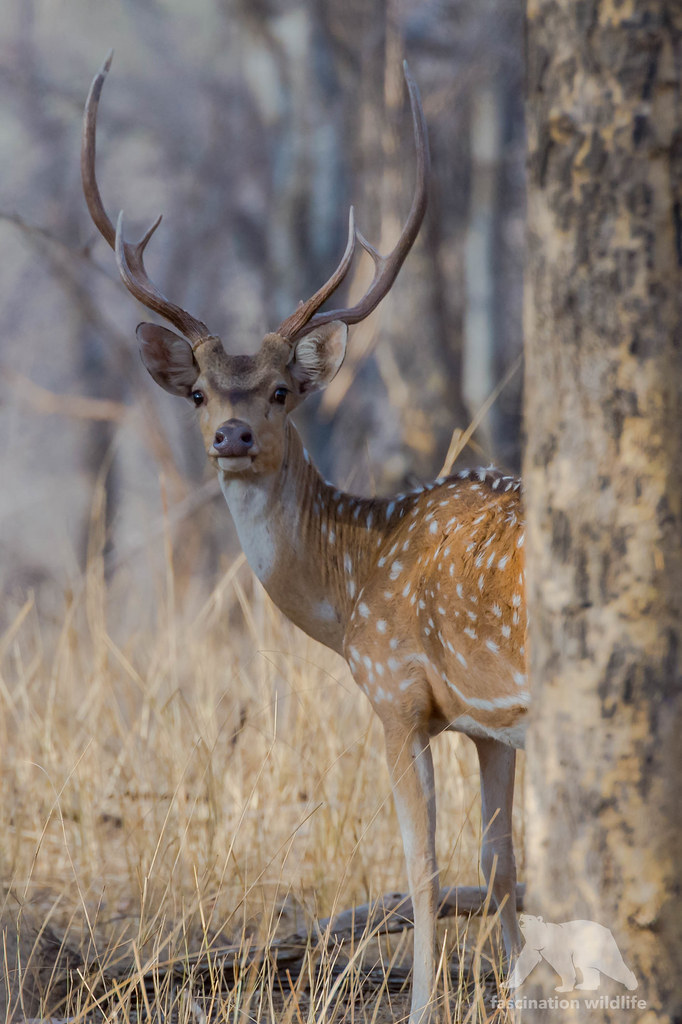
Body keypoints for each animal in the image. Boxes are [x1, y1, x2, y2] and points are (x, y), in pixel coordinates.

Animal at [82, 54, 527, 1024]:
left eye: (283, 390)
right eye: (200, 391)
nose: (232, 434)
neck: (349, 593)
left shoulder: (397, 690)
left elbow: (423, 869)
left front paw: (424, 1009)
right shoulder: (486, 721)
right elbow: (499, 868)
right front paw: (530, 994)